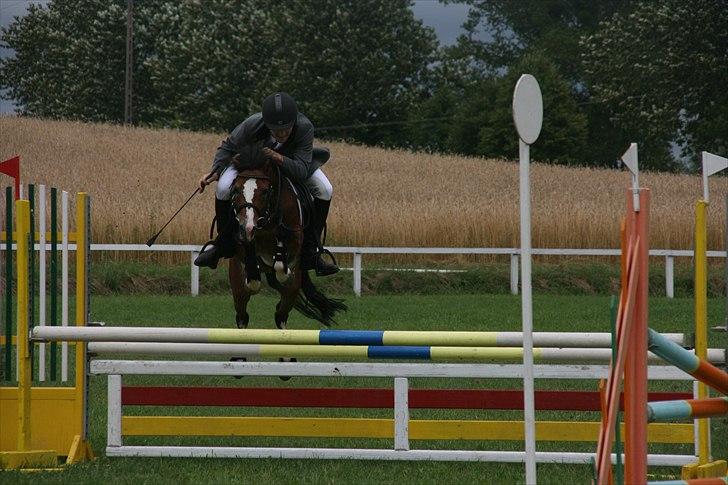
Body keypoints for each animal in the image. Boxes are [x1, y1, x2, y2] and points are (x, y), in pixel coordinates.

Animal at [225, 147, 346, 332]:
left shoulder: (294, 244)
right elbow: (251, 262)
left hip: (291, 290)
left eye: (265, 191)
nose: (247, 227)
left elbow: (282, 267)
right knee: (242, 314)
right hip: (238, 288)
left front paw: (283, 268)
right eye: (236, 190)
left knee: (281, 313)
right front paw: (253, 275)